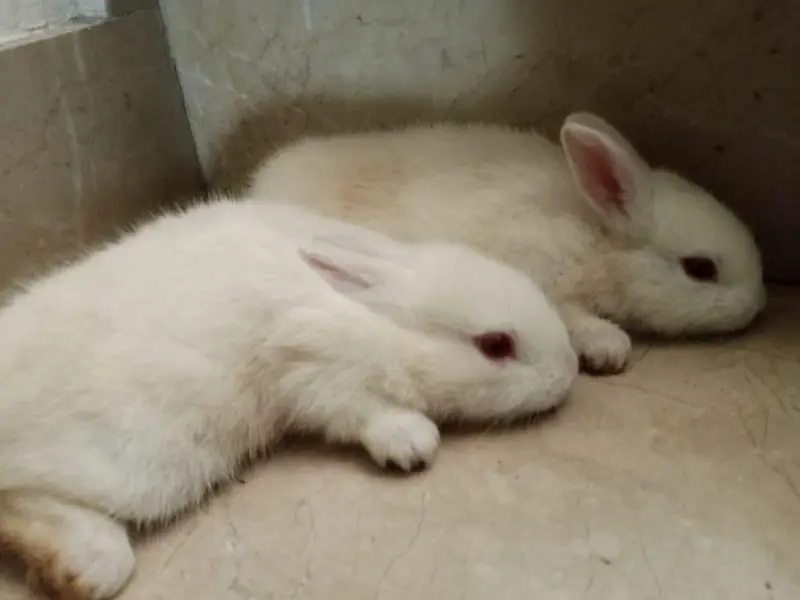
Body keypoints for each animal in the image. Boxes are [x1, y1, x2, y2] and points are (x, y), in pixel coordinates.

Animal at [0, 197, 577, 600]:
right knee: (21, 497)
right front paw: (412, 444)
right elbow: (359, 412)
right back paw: (81, 571)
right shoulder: (314, 369)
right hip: (141, 460)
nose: (568, 372)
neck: (378, 322)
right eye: (496, 345)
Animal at [248, 111, 766, 374]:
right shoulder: (544, 275)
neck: (598, 241)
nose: (758, 304)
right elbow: (573, 316)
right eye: (700, 268)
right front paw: (609, 347)